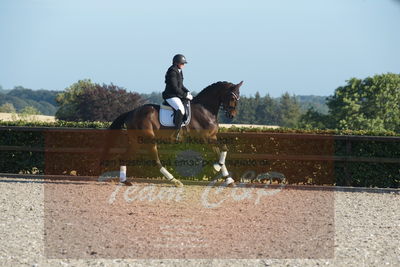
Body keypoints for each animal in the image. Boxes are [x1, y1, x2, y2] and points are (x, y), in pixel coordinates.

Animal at [101, 80, 242, 187]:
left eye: (238, 97)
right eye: (232, 97)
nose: (232, 115)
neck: (205, 109)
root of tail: (132, 112)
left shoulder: (212, 137)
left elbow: (221, 151)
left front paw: (228, 179)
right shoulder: (206, 138)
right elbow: (223, 149)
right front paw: (218, 167)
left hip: (137, 141)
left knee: (124, 157)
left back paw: (125, 181)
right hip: (149, 139)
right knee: (156, 161)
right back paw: (175, 181)